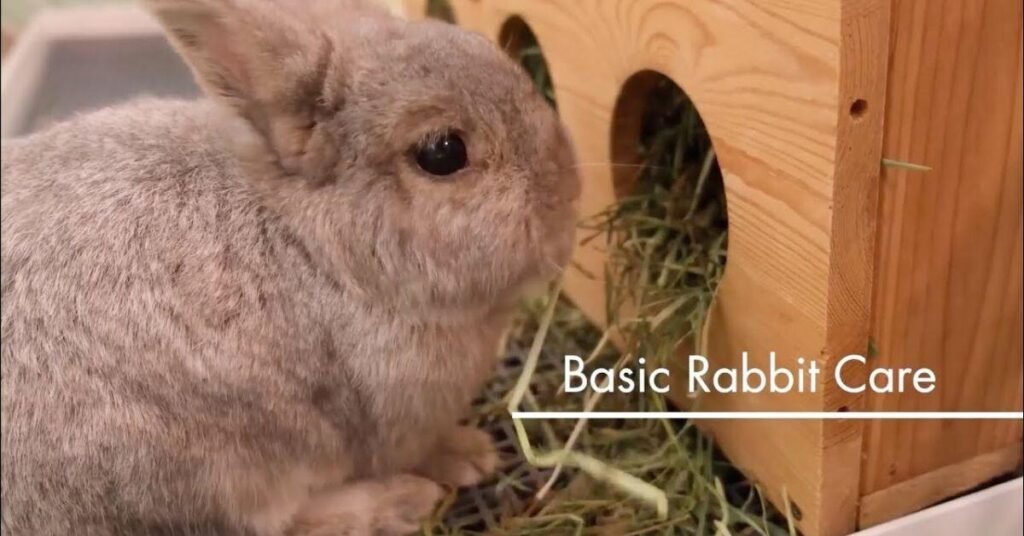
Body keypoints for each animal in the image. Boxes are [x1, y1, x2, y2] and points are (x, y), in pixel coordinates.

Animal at [0, 0, 580, 534]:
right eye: (443, 152)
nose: (569, 195)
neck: (316, 253)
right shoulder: (394, 422)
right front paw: (471, 456)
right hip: (208, 472)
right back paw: (401, 502)